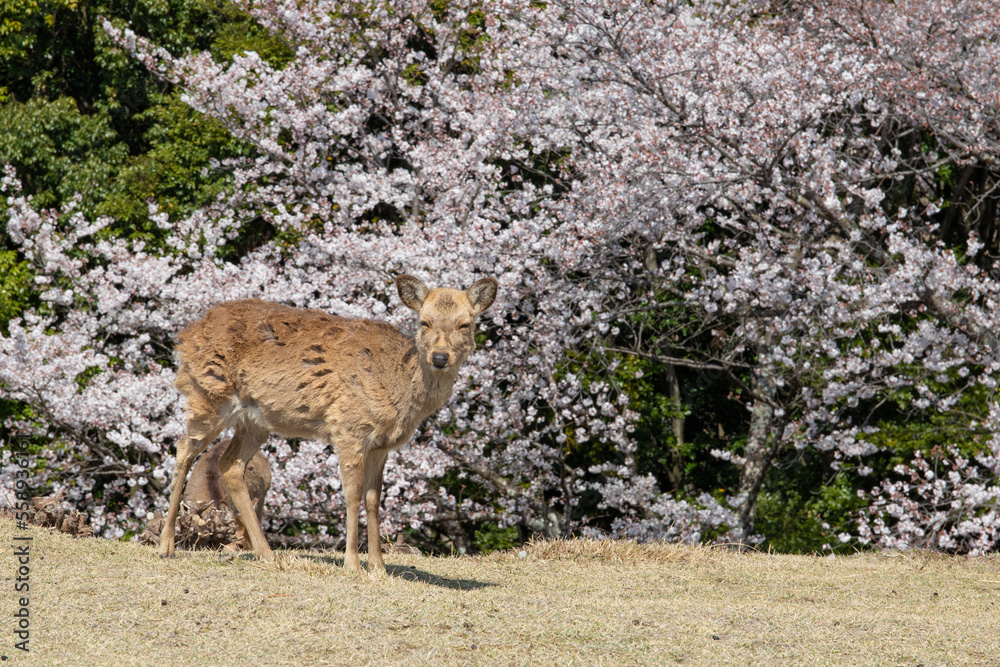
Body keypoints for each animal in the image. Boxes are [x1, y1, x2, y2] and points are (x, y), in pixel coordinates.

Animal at [158, 274, 498, 573]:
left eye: (465, 324)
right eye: (424, 322)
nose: (440, 357)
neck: (398, 389)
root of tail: (187, 335)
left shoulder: (382, 445)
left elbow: (374, 499)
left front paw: (378, 566)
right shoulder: (348, 427)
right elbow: (352, 495)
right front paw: (352, 564)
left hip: (256, 420)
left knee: (230, 463)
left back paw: (267, 554)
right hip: (208, 394)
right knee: (184, 449)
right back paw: (166, 546)